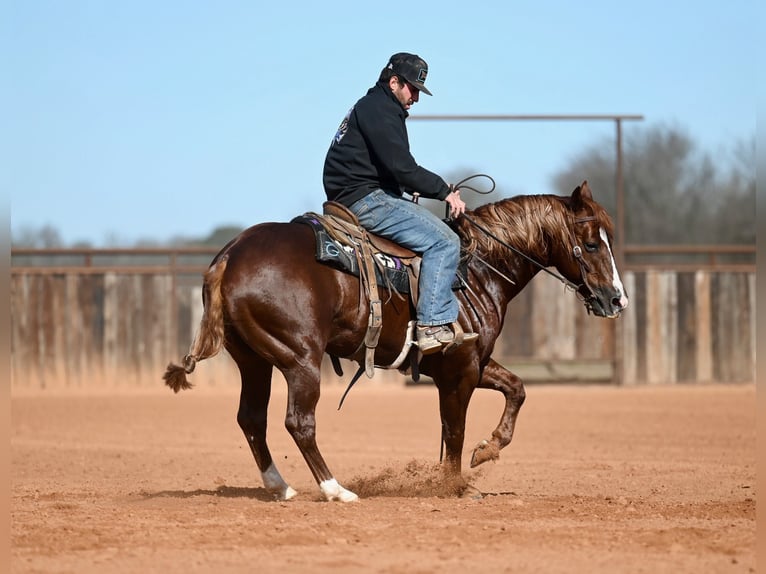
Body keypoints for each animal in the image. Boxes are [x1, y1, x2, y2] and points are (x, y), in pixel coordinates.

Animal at [163, 181, 628, 502]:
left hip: (254, 361)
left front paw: (487, 451)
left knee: (251, 420)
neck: (477, 270)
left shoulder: (474, 362)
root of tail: (230, 255)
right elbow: (453, 429)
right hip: (300, 359)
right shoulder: (459, 368)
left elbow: (517, 389)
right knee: (298, 422)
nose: (616, 299)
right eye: (591, 244)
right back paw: (336, 490)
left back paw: (282, 487)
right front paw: (455, 485)